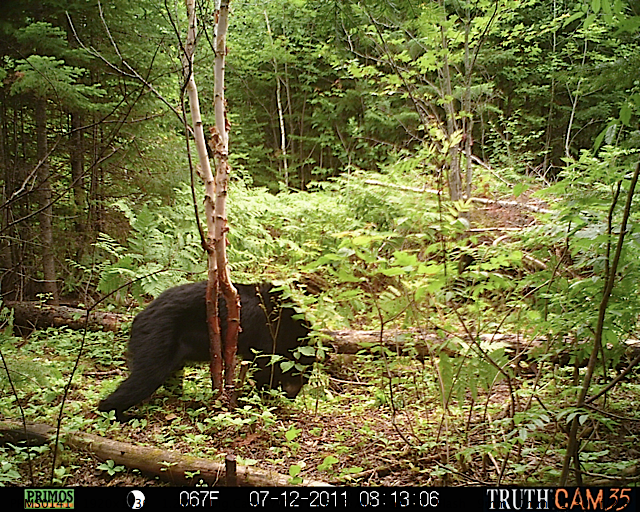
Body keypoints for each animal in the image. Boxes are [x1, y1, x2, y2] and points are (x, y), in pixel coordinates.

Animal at [97, 282, 312, 422]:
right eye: (300, 374)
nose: (293, 395)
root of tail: (138, 317)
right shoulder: (264, 332)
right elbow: (264, 369)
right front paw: (263, 398)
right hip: (157, 336)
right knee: (146, 375)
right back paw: (118, 413)